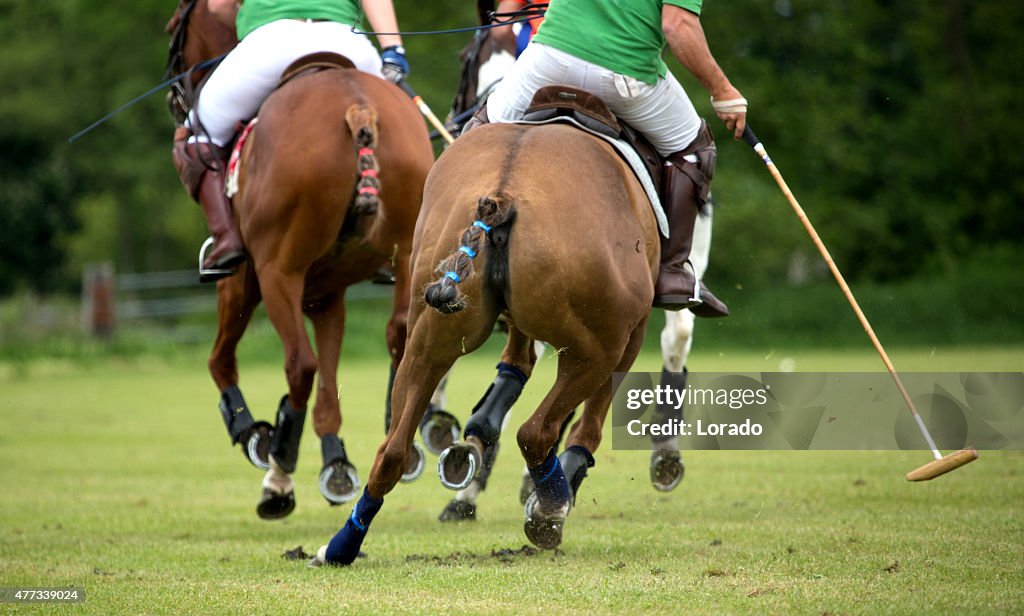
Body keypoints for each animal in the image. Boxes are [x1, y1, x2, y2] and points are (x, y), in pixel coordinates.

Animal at [162, 1, 432, 517]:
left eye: (173, 28)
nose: (174, 94)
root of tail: (356, 106)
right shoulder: (327, 295)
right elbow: (329, 386)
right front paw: (337, 464)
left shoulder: (242, 279)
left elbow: (221, 359)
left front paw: (252, 434)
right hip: (411, 248)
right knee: (401, 336)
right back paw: (398, 447)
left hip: (276, 271)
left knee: (298, 365)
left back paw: (278, 475)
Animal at [311, 116, 659, 564]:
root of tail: (502, 195)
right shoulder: (633, 330)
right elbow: (584, 422)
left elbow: (514, 364)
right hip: (601, 344)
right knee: (536, 431)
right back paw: (550, 509)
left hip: (428, 338)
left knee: (393, 449)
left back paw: (342, 544)